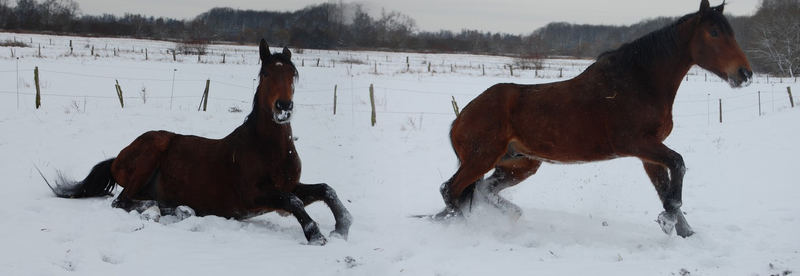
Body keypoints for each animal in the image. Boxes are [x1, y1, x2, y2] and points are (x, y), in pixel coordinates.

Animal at [43, 38, 350, 246]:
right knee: (123, 201)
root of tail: (117, 158)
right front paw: (316, 235)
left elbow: (325, 189)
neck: (268, 149)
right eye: (265, 75)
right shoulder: (253, 195)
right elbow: (294, 201)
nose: (283, 107)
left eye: (292, 75)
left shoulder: (286, 186)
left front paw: (343, 226)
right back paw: (171, 209)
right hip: (151, 152)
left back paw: (177, 208)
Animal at [438, 0, 752, 237]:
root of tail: (461, 116)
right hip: (482, 158)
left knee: (480, 191)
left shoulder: (649, 154)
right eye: (714, 32)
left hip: (520, 164)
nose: (744, 74)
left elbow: (667, 188)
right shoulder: (635, 144)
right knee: (451, 189)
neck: (640, 82)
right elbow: (678, 165)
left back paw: (509, 215)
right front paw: (668, 221)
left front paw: (682, 230)